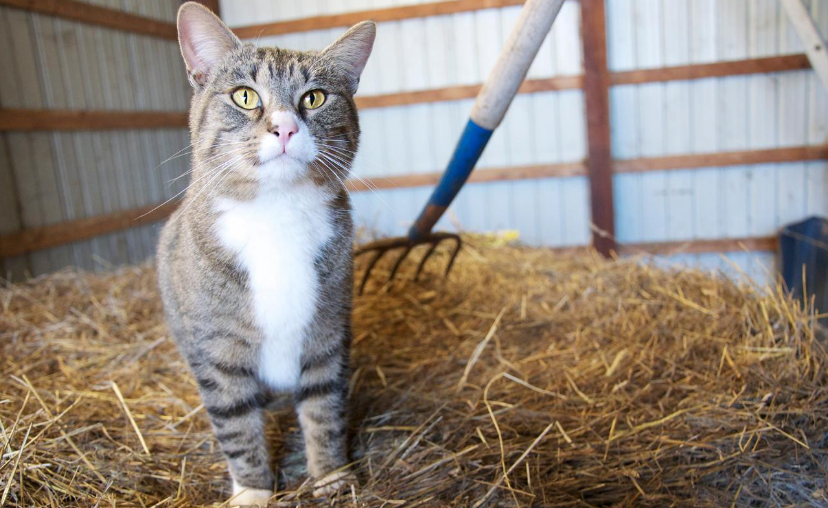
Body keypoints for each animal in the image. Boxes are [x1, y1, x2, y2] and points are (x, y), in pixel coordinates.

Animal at [155, 2, 376, 504]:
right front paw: (253, 490)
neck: (277, 213)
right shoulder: (217, 350)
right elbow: (236, 424)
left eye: (314, 99)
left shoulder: (327, 333)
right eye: (244, 96)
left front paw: (331, 476)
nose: (286, 127)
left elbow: (323, 409)